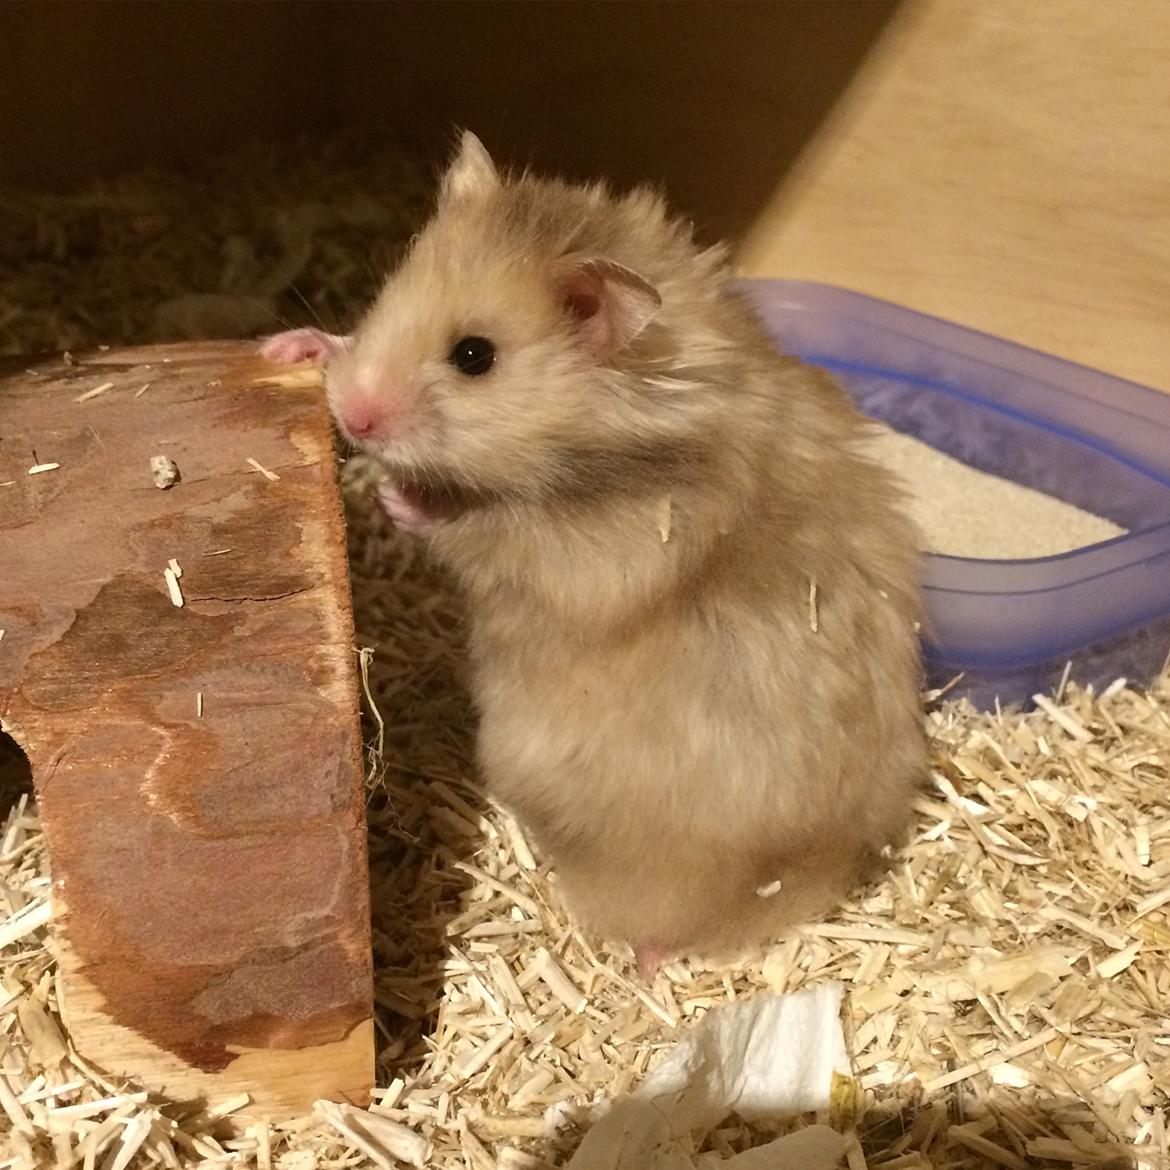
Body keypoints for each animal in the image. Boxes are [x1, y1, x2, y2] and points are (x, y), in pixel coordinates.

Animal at [261, 132, 926, 974]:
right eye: (387, 293)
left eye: (473, 355)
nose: (353, 417)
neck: (616, 436)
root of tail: (810, 874)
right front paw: (293, 345)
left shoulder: (592, 553)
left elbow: (472, 525)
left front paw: (398, 497)